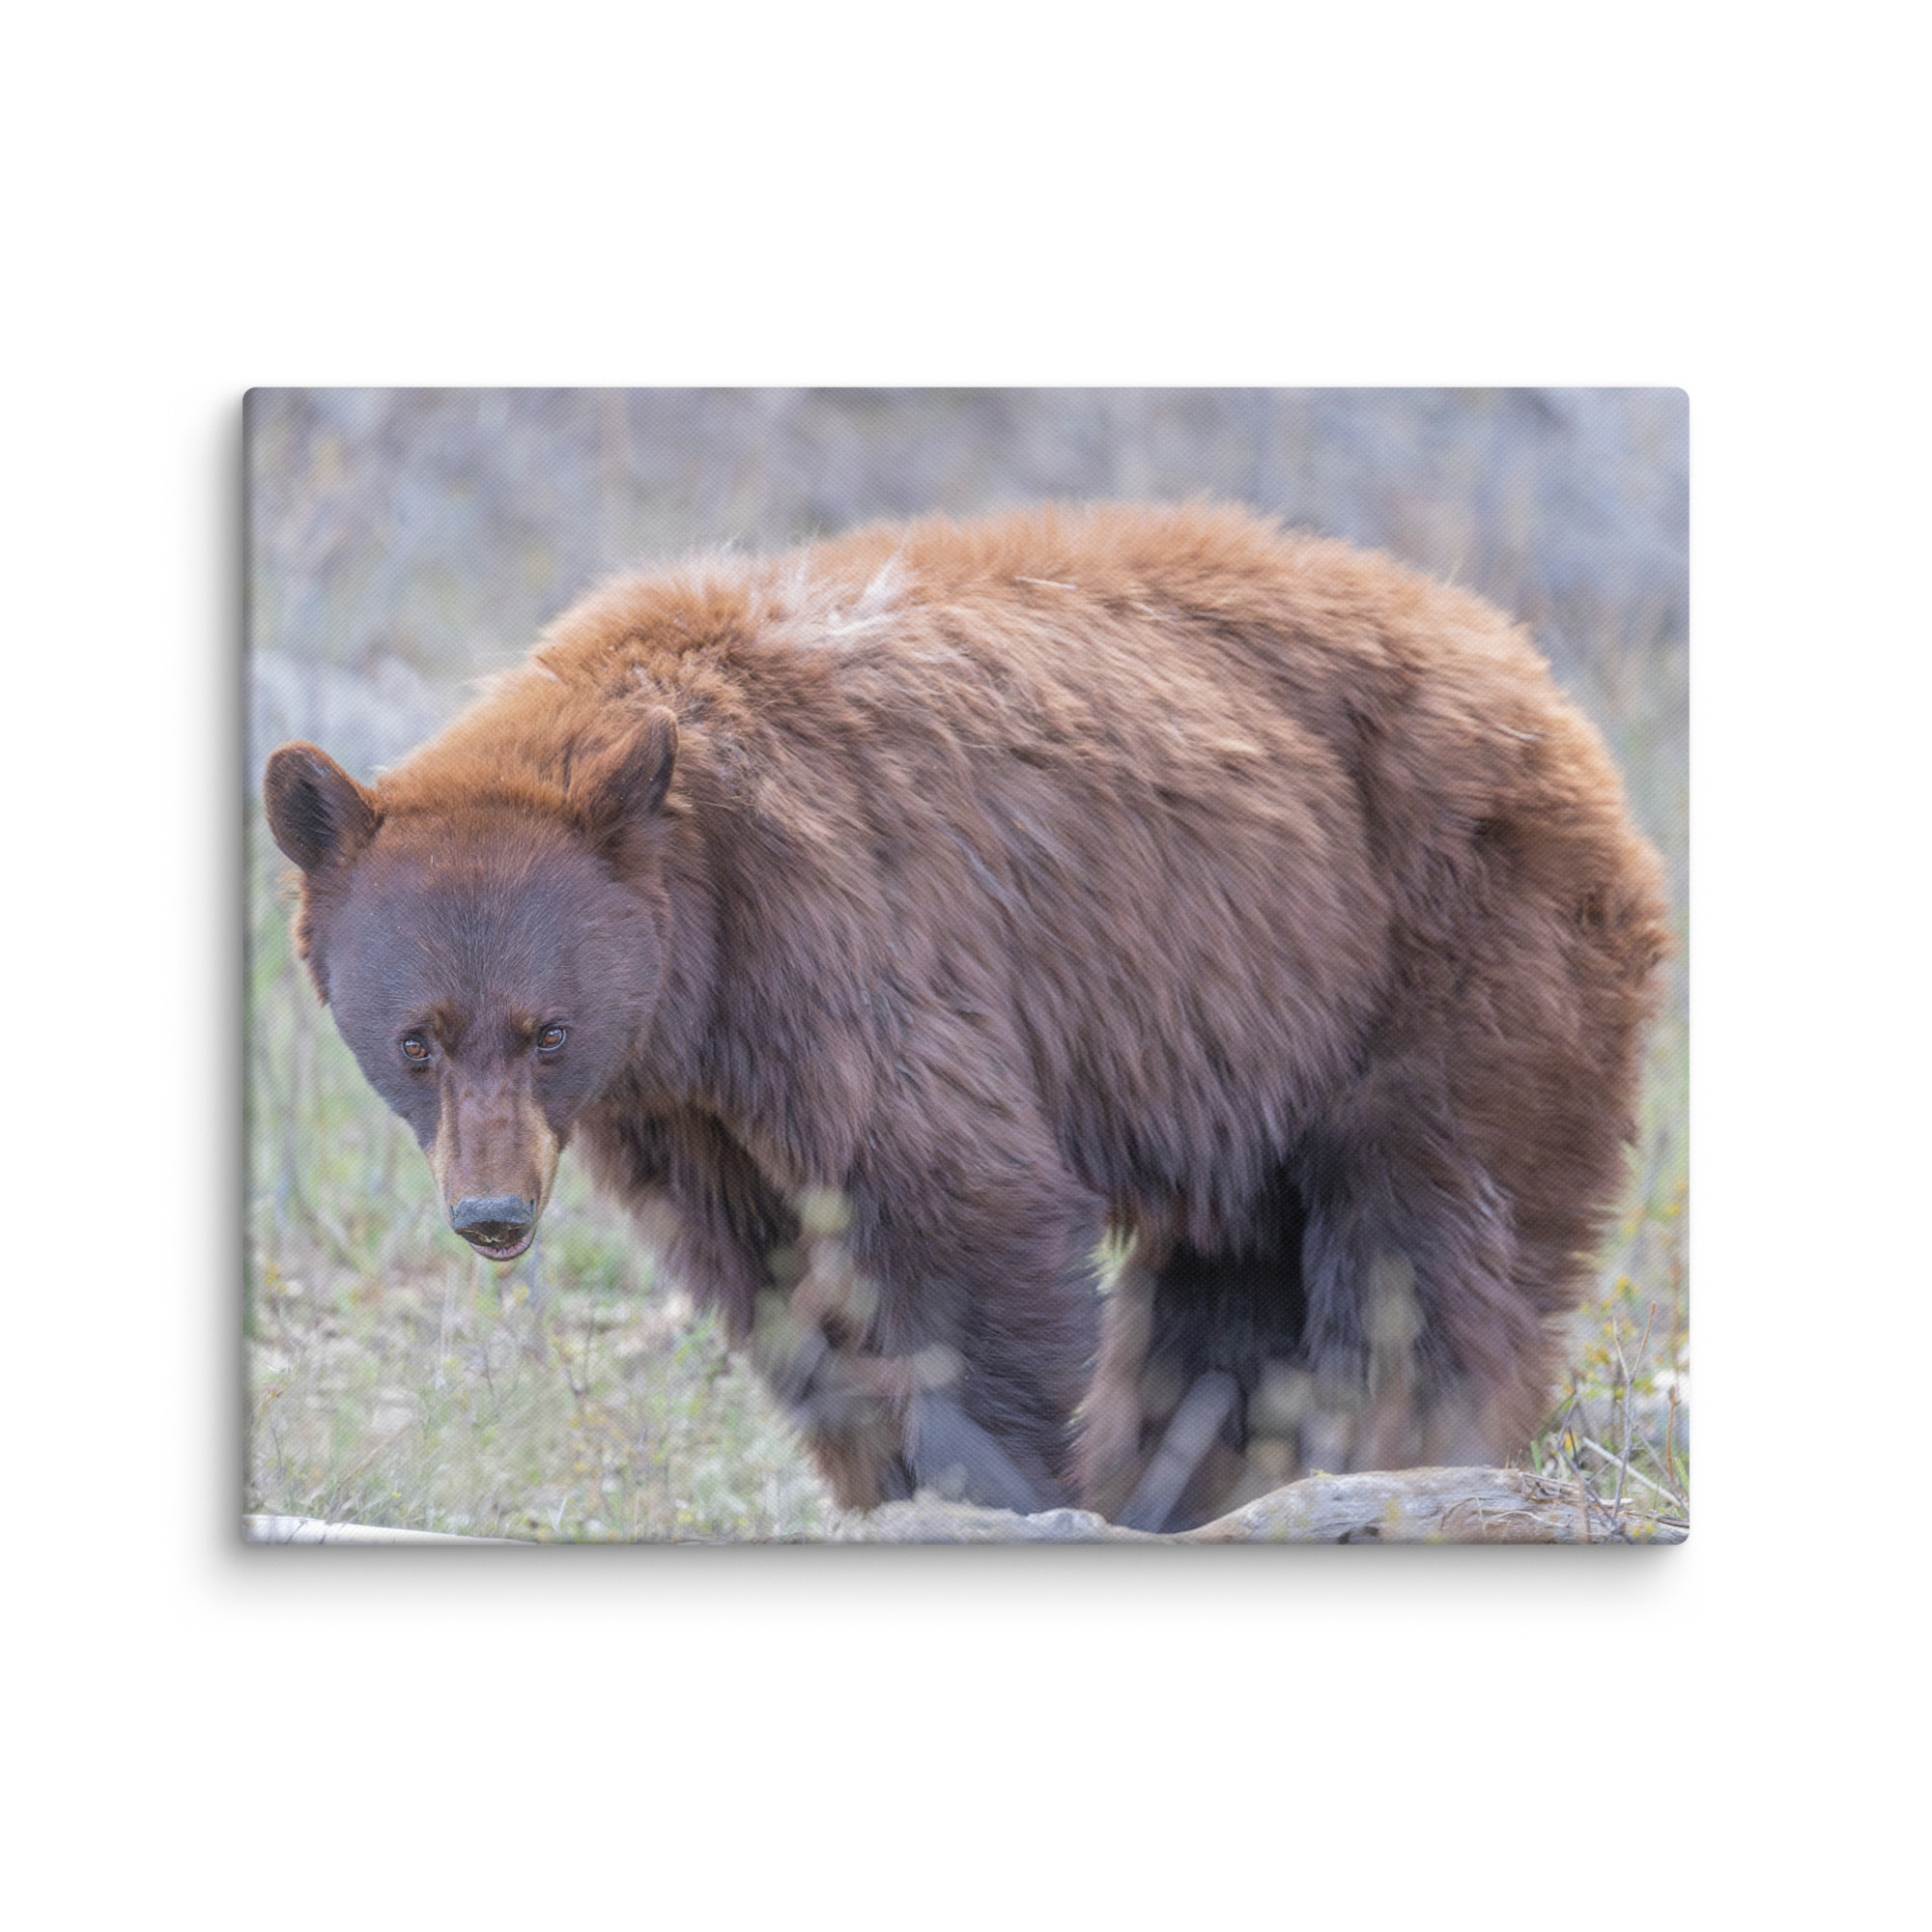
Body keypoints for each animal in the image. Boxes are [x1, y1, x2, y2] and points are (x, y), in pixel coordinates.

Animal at [263, 502, 1668, 1531]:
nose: (492, 1215)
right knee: (1230, 1280)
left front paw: (998, 1484)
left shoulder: (846, 938)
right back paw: (1201, 1475)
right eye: (417, 1040)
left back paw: (1390, 1451)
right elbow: (776, 1273)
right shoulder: (683, 1103)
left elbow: (958, 1208)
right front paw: (888, 1474)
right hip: (1258, 1037)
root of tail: (1535, 675)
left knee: (1427, 1237)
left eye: (546, 1030)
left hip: (1445, 943)